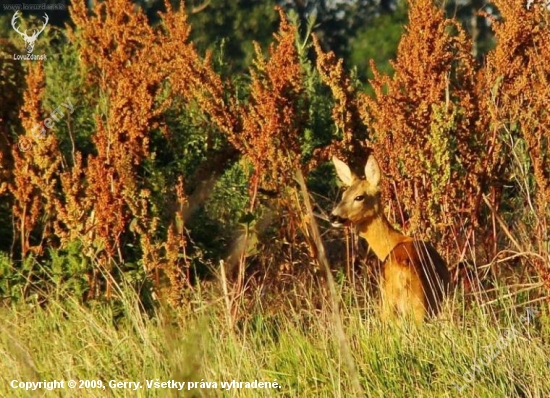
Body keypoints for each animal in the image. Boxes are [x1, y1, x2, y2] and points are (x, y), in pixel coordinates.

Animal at [330, 155, 450, 324]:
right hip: (415, 304)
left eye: (359, 197)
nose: (333, 216)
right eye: (343, 195)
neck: (395, 241)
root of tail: (401, 273)